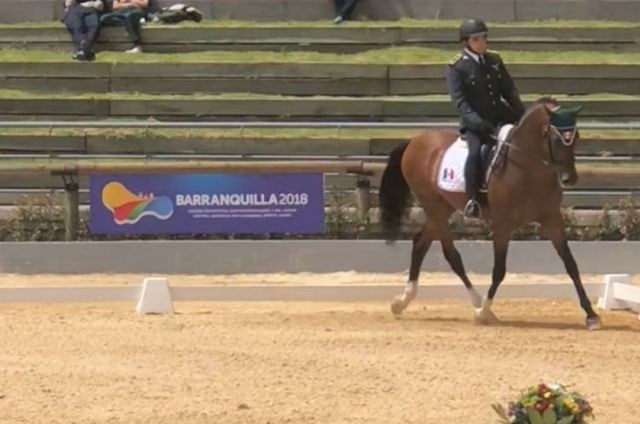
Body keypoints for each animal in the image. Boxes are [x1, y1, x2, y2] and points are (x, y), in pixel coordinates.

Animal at [378, 100, 602, 330]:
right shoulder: (502, 224)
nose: (569, 178)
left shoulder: (552, 218)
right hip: (433, 206)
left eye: (576, 136)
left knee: (420, 243)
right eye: (555, 138)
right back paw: (478, 304)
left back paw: (401, 301)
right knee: (452, 256)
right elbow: (499, 270)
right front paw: (484, 312)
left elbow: (571, 264)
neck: (527, 168)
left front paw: (591, 315)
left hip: (442, 207)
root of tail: (415, 140)